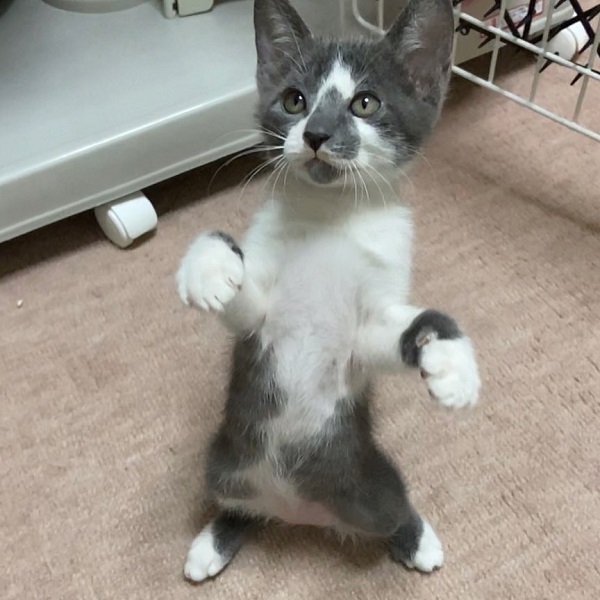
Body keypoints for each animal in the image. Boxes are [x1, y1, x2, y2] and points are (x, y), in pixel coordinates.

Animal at [177, 0, 480, 582]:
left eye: (365, 102)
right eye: (295, 100)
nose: (315, 133)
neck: (332, 216)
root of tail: (298, 514)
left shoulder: (368, 322)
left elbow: (403, 329)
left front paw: (452, 364)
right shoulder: (261, 315)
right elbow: (237, 284)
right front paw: (208, 266)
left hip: (368, 478)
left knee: (391, 508)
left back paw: (418, 539)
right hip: (223, 462)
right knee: (238, 504)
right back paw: (213, 542)